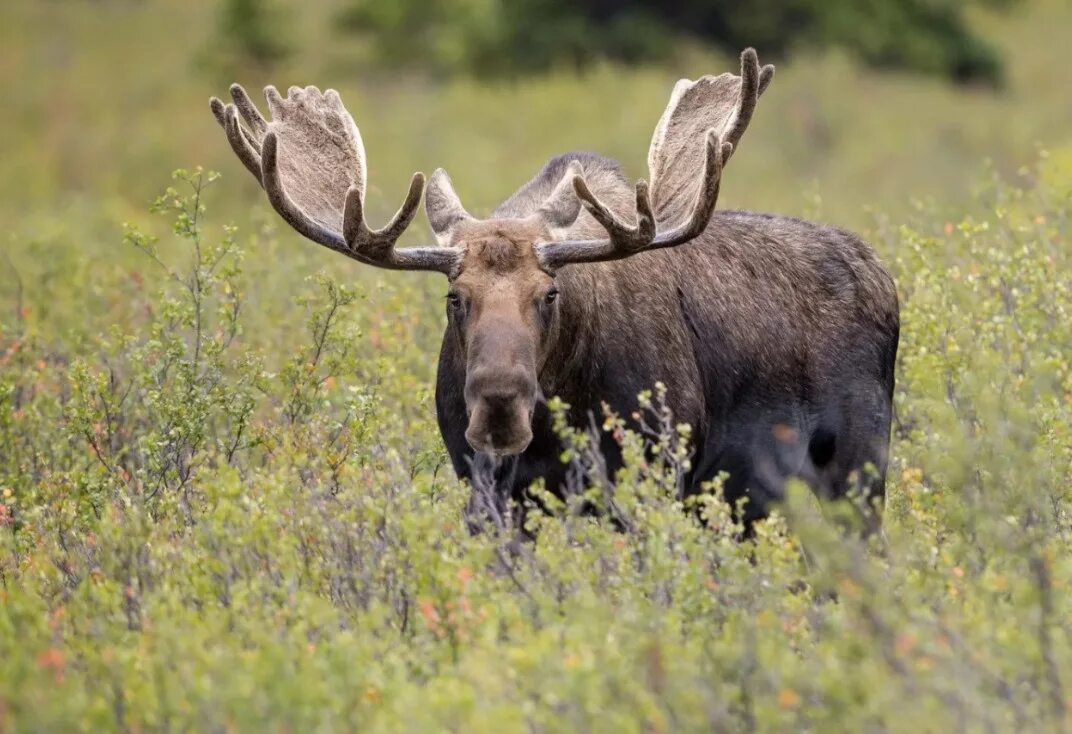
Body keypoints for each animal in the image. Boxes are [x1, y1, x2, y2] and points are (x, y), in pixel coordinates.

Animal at [206, 51, 896, 529]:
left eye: (550, 294)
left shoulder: (653, 474)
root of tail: (883, 276)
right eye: (455, 298)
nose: (499, 403)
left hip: (859, 471)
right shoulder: (489, 492)